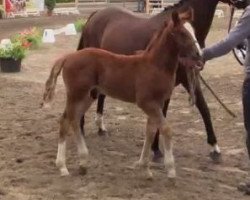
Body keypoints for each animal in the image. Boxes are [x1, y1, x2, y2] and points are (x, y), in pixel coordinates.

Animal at [42, 11, 203, 179]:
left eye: (193, 31)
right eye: (182, 33)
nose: (198, 55)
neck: (155, 65)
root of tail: (67, 57)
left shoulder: (157, 103)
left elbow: (150, 132)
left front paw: (145, 167)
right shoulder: (147, 103)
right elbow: (166, 129)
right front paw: (171, 170)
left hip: (88, 96)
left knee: (73, 119)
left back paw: (82, 163)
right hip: (76, 94)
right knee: (65, 120)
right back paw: (63, 167)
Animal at [77, 0, 236, 162]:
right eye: (182, 34)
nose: (198, 55)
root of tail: (95, 14)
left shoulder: (190, 78)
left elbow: (203, 108)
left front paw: (215, 147)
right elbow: (161, 114)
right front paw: (156, 149)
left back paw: (100, 128)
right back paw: (81, 130)